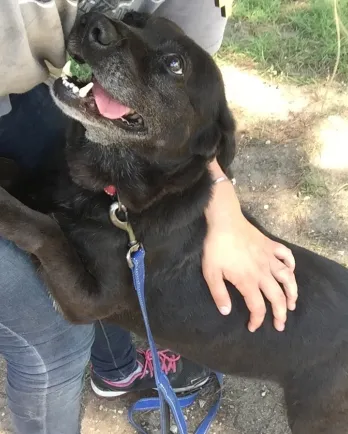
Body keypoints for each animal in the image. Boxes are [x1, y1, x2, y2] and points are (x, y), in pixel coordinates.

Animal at [0, 11, 348, 432]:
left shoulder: (86, 301)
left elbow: (47, 230)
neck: (116, 198)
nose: (93, 22)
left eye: (174, 64)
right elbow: (19, 175)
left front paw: (5, 209)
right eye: (133, 18)